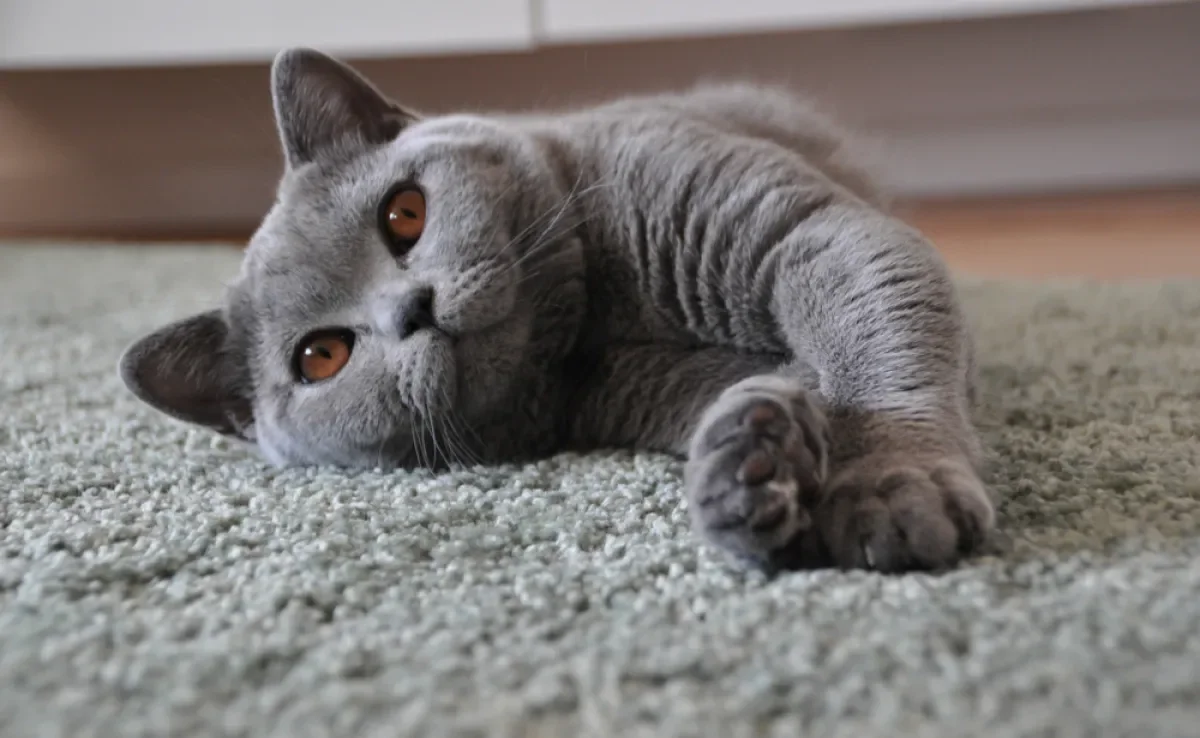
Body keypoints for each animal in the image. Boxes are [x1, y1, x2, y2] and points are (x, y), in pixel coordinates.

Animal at [119, 49, 993, 573]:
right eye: (321, 356)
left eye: (404, 214)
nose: (412, 309)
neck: (598, 317)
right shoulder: (652, 385)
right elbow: (780, 386)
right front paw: (749, 472)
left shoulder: (811, 234)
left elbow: (873, 351)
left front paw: (890, 489)